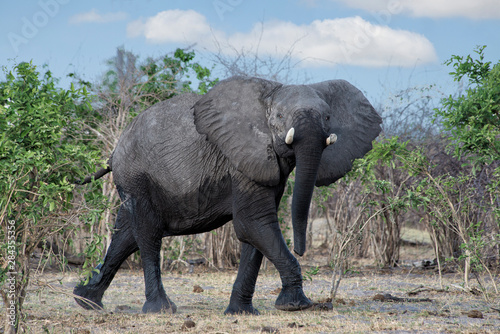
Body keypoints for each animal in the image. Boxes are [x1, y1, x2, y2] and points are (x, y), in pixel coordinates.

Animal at [72, 76, 380, 316]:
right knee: (148, 234)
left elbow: (254, 232)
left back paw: (85, 301)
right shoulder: (242, 157)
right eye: (280, 117)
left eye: (328, 117)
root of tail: (114, 151)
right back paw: (160, 309)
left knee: (126, 235)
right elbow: (253, 223)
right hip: (137, 176)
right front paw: (295, 306)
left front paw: (241, 313)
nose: (301, 249)